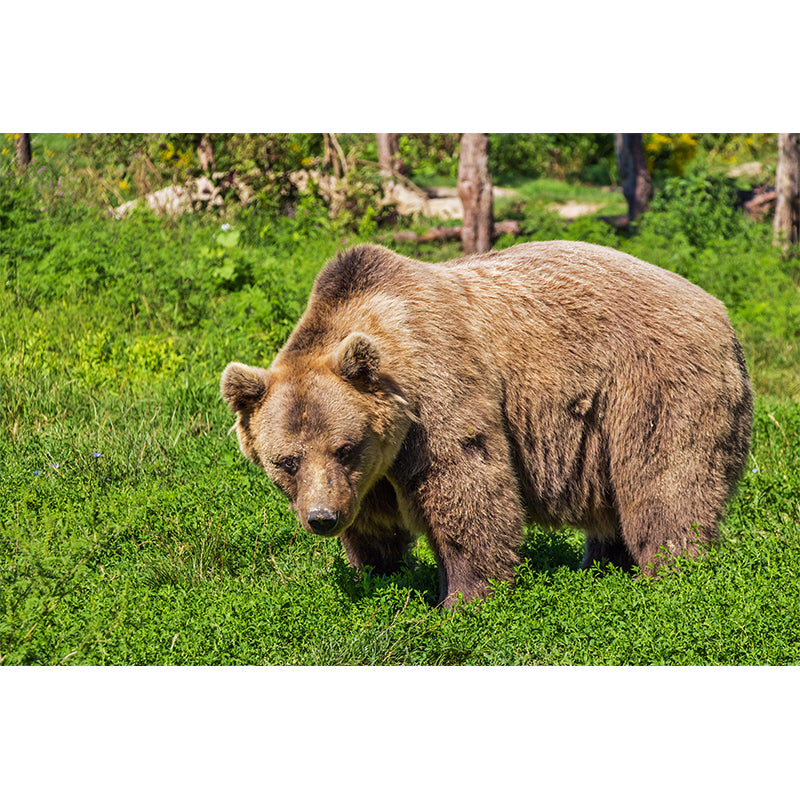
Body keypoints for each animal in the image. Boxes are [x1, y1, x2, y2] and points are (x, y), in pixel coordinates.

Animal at [221, 240, 753, 608]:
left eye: (344, 447)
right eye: (286, 461)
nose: (322, 518)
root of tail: (720, 310)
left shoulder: (438, 395)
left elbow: (467, 489)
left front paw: (463, 599)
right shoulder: (370, 473)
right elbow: (374, 525)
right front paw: (380, 574)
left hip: (654, 385)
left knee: (665, 483)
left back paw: (671, 574)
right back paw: (602, 566)